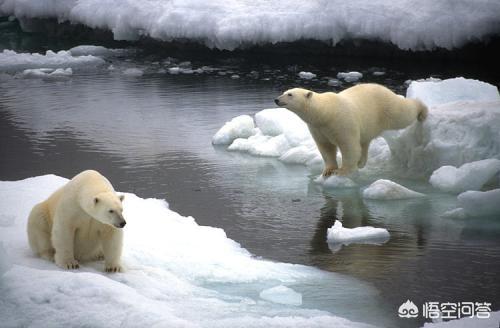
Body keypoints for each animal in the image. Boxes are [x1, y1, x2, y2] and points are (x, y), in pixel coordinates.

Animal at [276, 84, 428, 177]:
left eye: (290, 94)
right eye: (284, 92)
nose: (276, 99)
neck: (325, 113)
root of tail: (384, 88)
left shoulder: (342, 122)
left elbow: (349, 146)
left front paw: (342, 171)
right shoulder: (318, 128)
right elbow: (325, 148)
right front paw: (328, 171)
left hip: (386, 107)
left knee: (403, 113)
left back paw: (422, 111)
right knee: (364, 141)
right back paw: (361, 162)